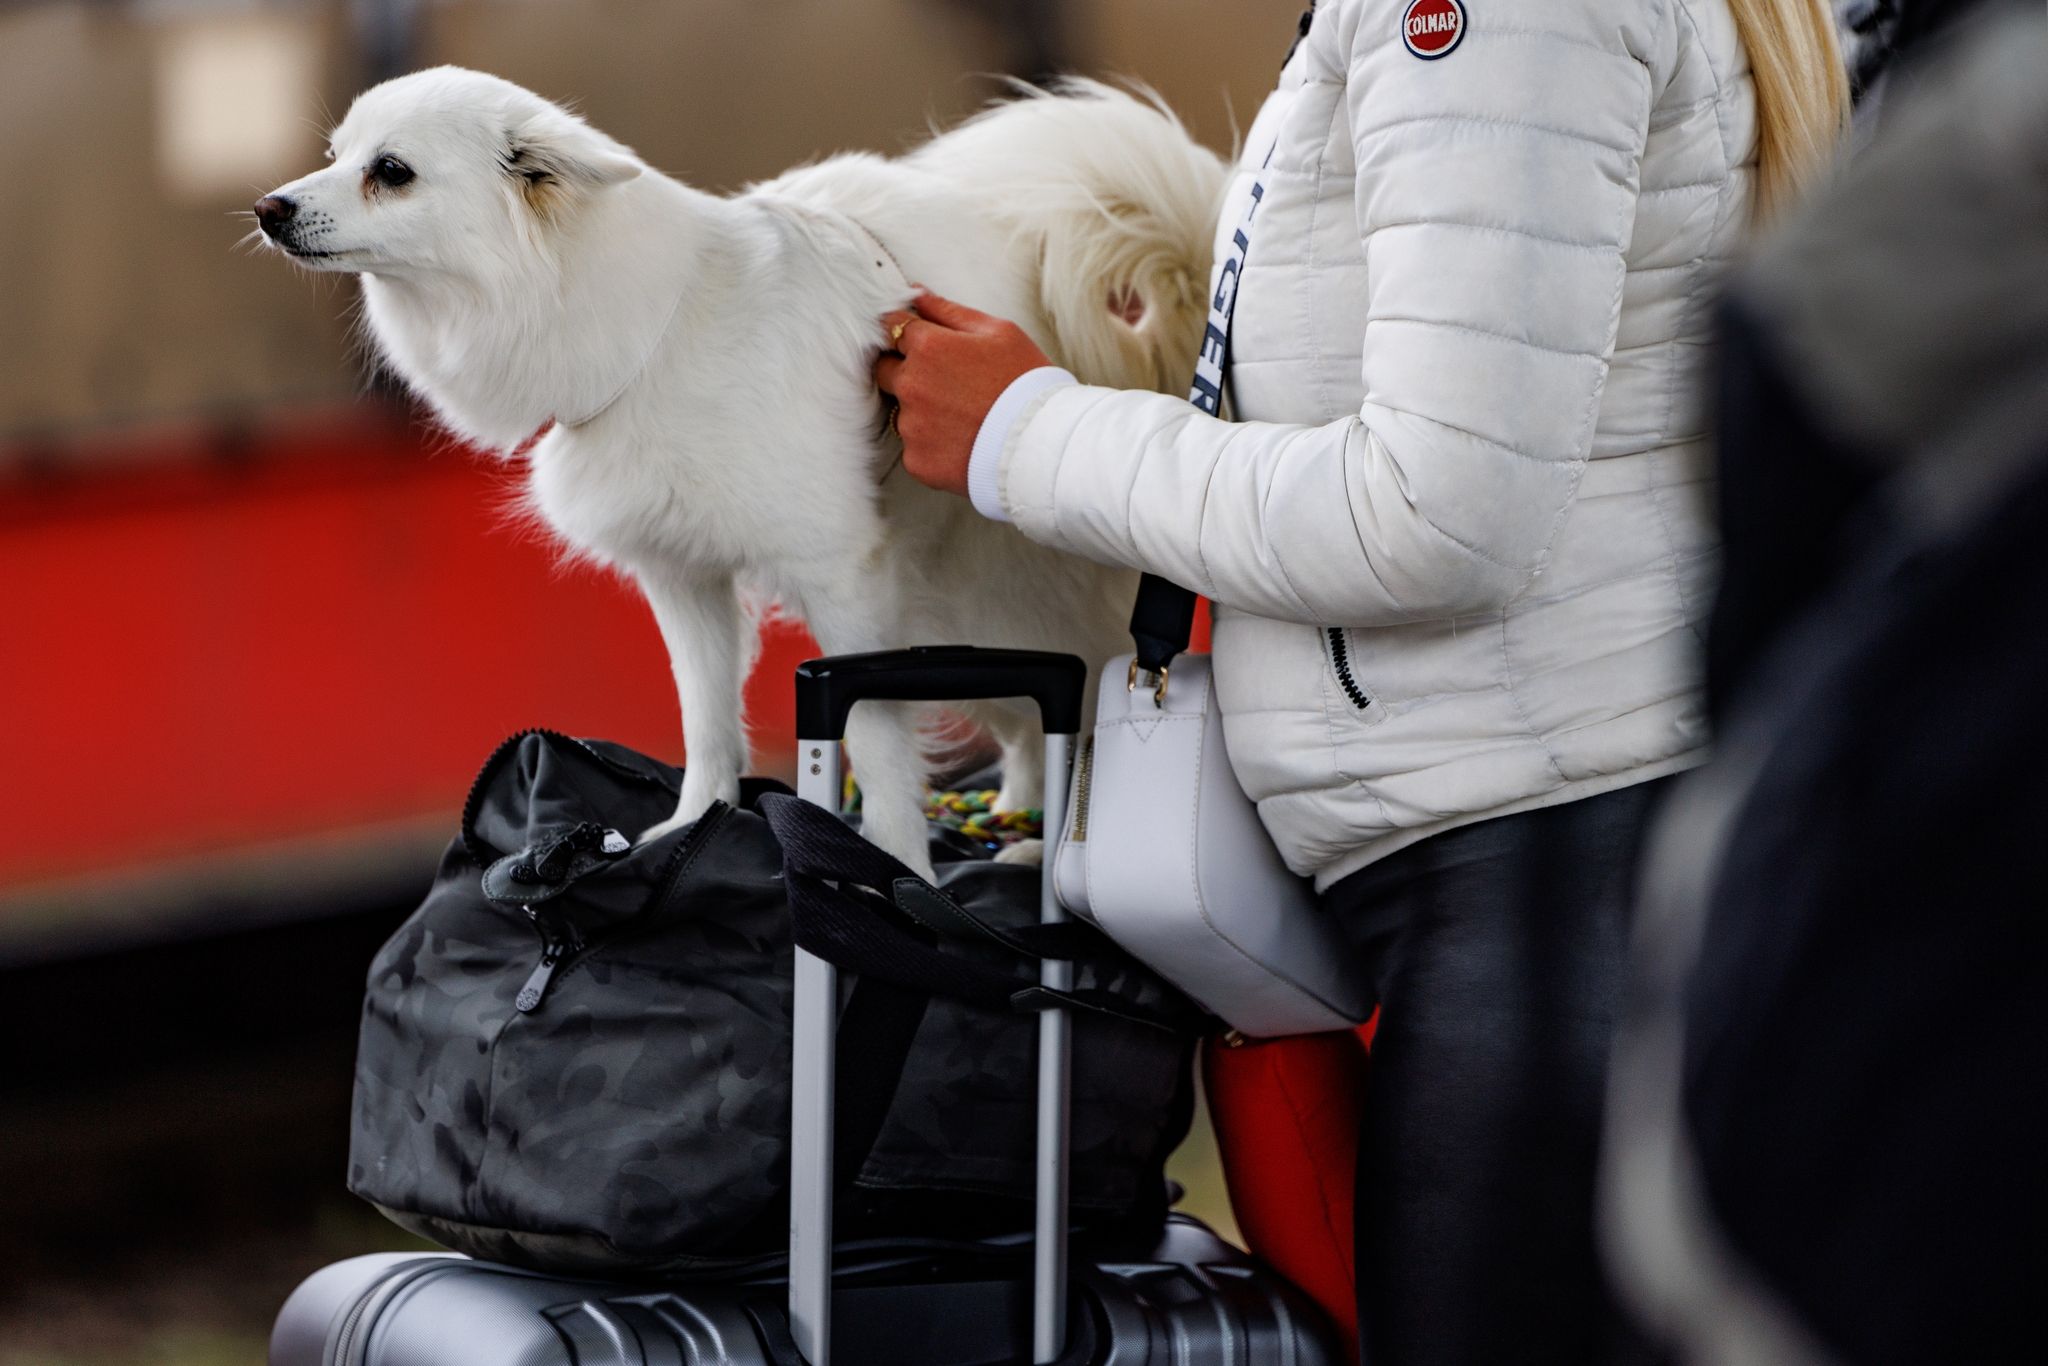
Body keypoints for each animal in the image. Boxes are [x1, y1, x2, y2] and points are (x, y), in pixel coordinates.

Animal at [251, 66, 1212, 876]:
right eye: (333, 157)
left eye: (391, 172)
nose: (268, 207)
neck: (654, 332)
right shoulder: (685, 579)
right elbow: (707, 718)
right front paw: (691, 830)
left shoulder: (842, 582)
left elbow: (876, 740)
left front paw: (901, 867)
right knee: (1026, 719)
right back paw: (1016, 820)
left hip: (1003, 586)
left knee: (1078, 686)